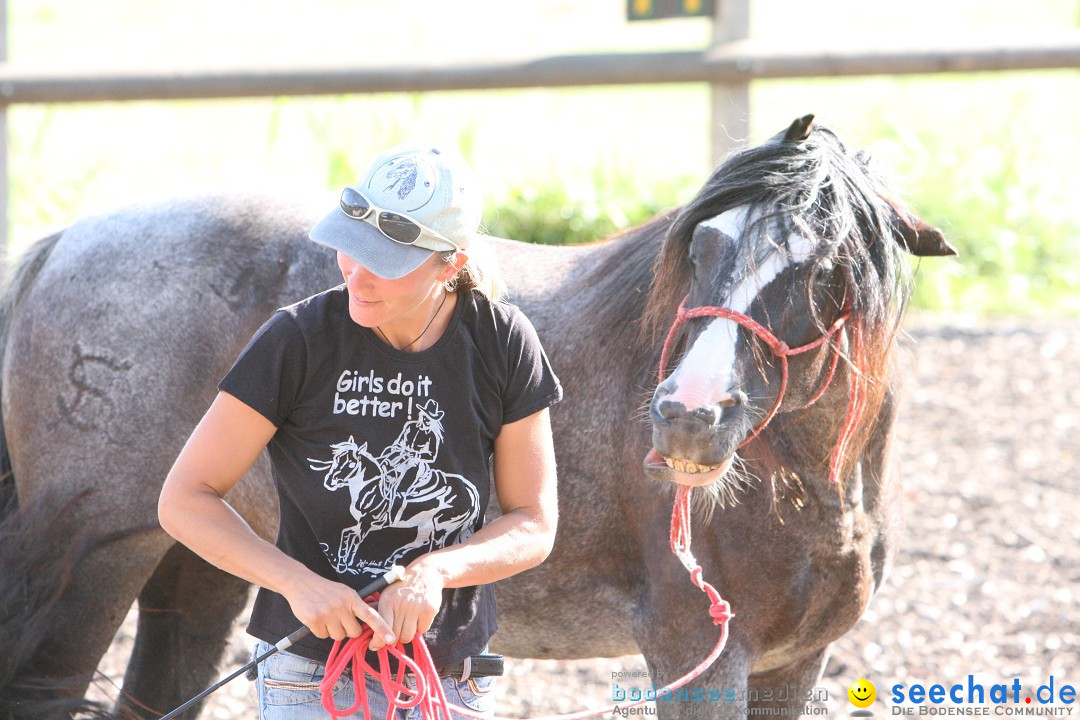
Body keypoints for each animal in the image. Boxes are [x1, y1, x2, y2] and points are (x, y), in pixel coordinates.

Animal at [0, 115, 954, 716]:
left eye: (825, 267)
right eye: (704, 244)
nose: (688, 418)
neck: (801, 490)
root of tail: (59, 243)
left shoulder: (793, 667)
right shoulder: (696, 657)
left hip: (199, 564)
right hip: (96, 555)